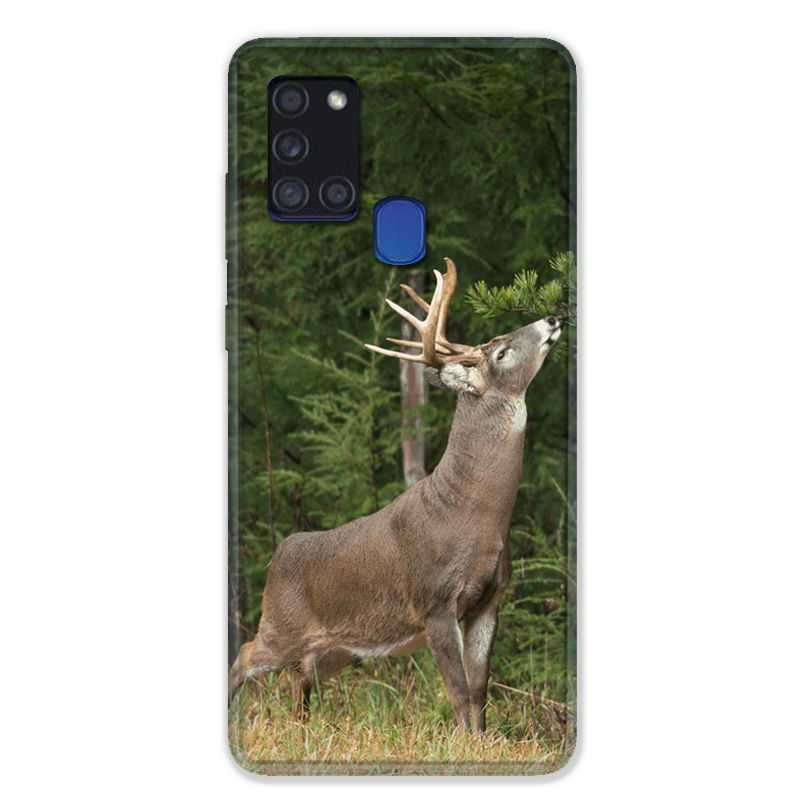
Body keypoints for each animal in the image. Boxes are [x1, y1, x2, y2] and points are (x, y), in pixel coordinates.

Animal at [229, 257, 562, 733]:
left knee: (300, 681)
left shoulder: (490, 600)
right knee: (244, 655)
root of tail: (279, 555)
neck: (474, 515)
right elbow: (458, 692)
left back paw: (303, 728)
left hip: (333, 649)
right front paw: (463, 743)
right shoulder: (435, 602)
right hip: (281, 623)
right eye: (501, 352)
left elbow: (480, 691)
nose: (553, 318)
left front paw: (482, 740)